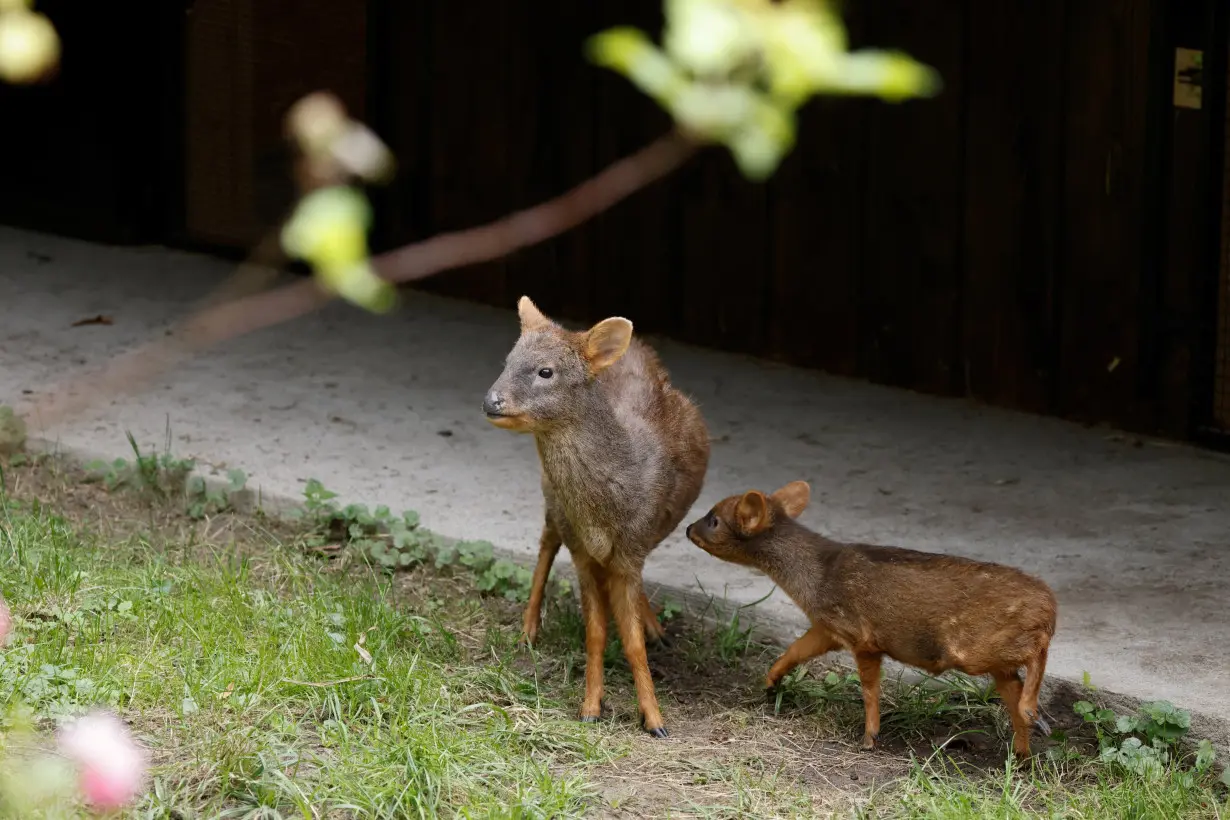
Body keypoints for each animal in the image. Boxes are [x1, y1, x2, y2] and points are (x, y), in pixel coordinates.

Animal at [482, 295, 713, 737]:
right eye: (507, 360)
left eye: (546, 371)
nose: (491, 401)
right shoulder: (582, 551)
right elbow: (596, 633)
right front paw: (591, 706)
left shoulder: (631, 548)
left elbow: (632, 642)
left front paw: (655, 719)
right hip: (552, 500)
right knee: (545, 544)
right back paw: (528, 630)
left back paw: (655, 627)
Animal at [683, 481, 1057, 757]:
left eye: (713, 519)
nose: (687, 528)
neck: (815, 578)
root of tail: (1050, 607)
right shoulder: (829, 627)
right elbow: (795, 650)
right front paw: (770, 681)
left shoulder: (860, 633)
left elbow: (868, 689)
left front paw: (869, 737)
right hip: (995, 659)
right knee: (1014, 690)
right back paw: (1022, 752)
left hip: (976, 650)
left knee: (1035, 658)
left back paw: (1034, 713)